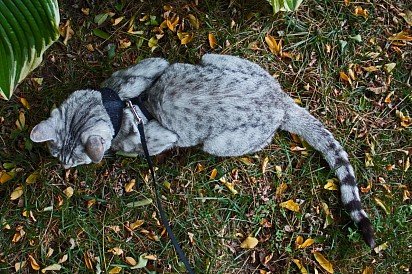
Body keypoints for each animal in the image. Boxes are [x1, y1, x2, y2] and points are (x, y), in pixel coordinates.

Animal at [30, 53, 374, 248]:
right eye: (57, 156)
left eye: (73, 161)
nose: (62, 168)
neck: (118, 106)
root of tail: (279, 101)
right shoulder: (151, 65)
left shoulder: (159, 137)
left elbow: (137, 146)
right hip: (217, 57)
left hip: (217, 143)